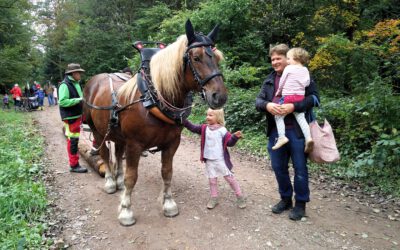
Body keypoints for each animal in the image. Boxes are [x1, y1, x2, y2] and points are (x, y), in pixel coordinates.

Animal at [83, 20, 227, 226]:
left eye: (216, 57)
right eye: (196, 58)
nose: (219, 96)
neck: (154, 98)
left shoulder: (172, 143)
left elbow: (167, 172)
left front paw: (169, 204)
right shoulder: (134, 145)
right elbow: (132, 177)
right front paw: (126, 210)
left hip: (118, 135)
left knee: (117, 153)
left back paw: (117, 180)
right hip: (98, 131)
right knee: (104, 153)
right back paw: (111, 182)